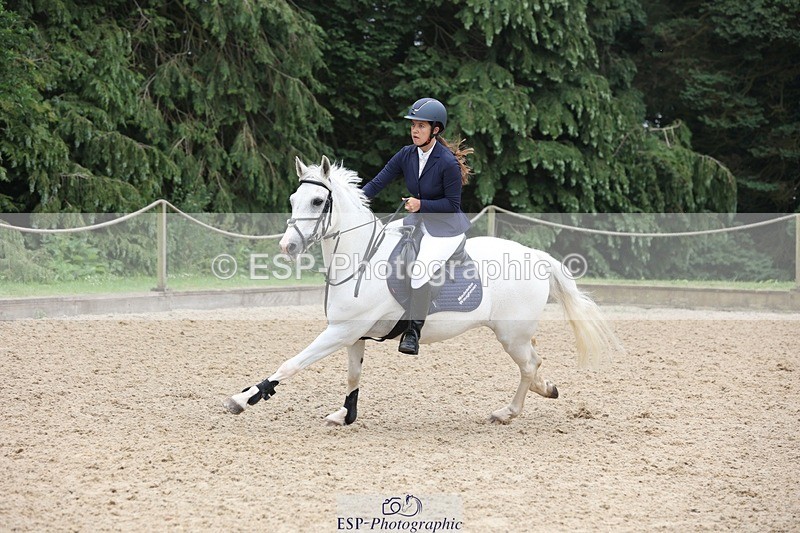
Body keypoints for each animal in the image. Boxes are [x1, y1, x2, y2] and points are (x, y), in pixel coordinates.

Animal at [223, 156, 621, 425]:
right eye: (293, 200)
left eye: (318, 202)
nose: (287, 246)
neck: (359, 257)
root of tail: (537, 256)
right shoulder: (353, 335)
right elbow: (353, 375)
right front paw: (345, 415)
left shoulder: (341, 331)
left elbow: (291, 363)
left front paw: (244, 398)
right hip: (517, 332)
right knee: (535, 360)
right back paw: (545, 388)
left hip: (511, 334)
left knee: (529, 364)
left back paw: (507, 411)